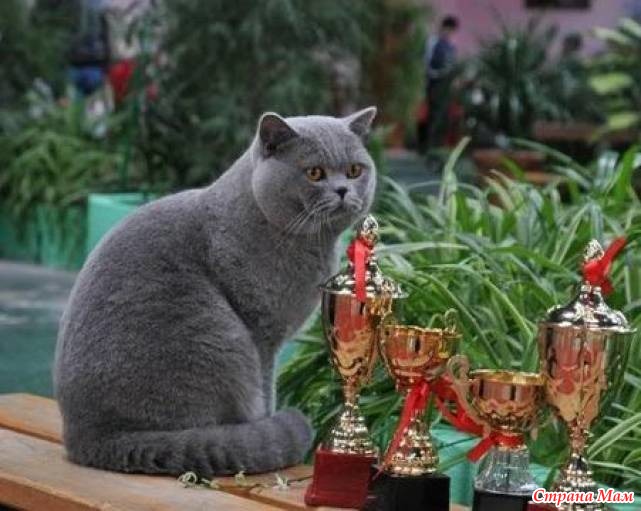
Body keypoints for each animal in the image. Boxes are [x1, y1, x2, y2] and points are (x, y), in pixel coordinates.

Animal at [54, 107, 378, 476]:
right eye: (314, 173)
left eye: (355, 171)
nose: (342, 190)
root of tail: (91, 437)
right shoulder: (263, 336)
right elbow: (267, 388)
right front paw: (265, 420)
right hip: (219, 336)